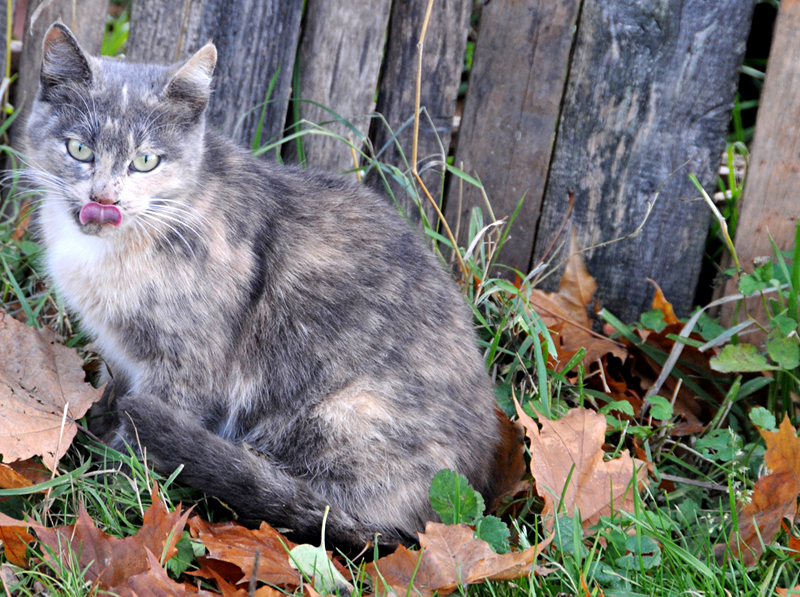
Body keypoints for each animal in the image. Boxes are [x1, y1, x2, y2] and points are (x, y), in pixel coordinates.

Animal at [25, 23, 520, 548]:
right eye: (79, 149)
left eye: (145, 161)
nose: (104, 197)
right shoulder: (118, 353)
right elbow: (110, 393)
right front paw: (95, 433)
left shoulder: (186, 368)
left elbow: (135, 444)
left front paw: (106, 493)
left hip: (340, 417)